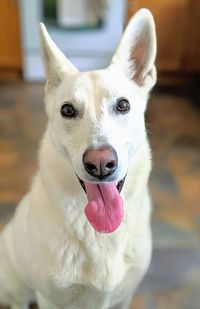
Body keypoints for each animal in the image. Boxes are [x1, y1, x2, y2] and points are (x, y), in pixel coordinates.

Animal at [0, 9, 156, 308]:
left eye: (123, 105)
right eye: (68, 110)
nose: (100, 164)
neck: (98, 231)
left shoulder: (124, 297)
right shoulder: (50, 299)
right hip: (17, 288)